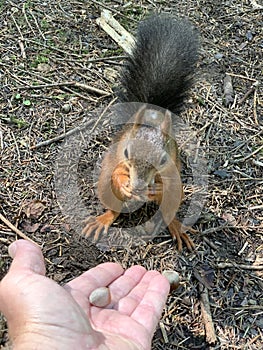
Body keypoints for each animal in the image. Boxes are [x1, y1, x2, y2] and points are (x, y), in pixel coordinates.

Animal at [82, 13, 200, 249]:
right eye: (127, 152)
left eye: (163, 159)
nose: (137, 188)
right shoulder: (117, 157)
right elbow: (117, 174)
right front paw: (125, 184)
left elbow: (165, 185)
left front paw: (155, 190)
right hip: (105, 187)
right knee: (114, 209)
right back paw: (103, 219)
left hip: (177, 192)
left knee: (168, 212)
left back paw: (176, 226)